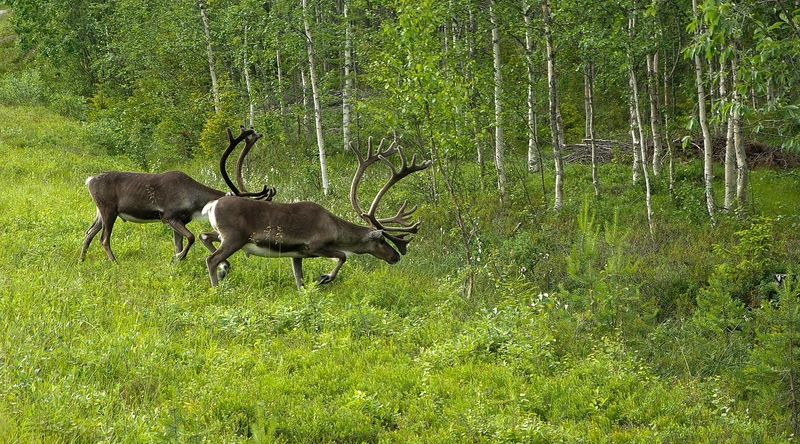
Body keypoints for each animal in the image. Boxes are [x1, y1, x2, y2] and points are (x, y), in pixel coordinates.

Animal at [80, 126, 275, 263]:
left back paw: (82, 259)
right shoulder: (169, 216)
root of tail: (89, 180)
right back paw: (115, 262)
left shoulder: (181, 220)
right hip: (109, 210)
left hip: (100, 211)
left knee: (89, 232)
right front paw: (178, 257)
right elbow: (190, 237)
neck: (195, 202)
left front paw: (178, 260)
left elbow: (179, 243)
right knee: (104, 238)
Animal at [199, 137, 431, 290]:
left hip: (222, 233)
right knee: (211, 258)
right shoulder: (314, 245)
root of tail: (212, 205)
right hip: (234, 237)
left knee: (204, 236)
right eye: (382, 241)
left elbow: (299, 280)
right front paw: (324, 278)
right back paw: (217, 286)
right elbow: (342, 257)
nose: (395, 256)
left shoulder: (296, 255)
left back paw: (224, 269)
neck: (336, 230)